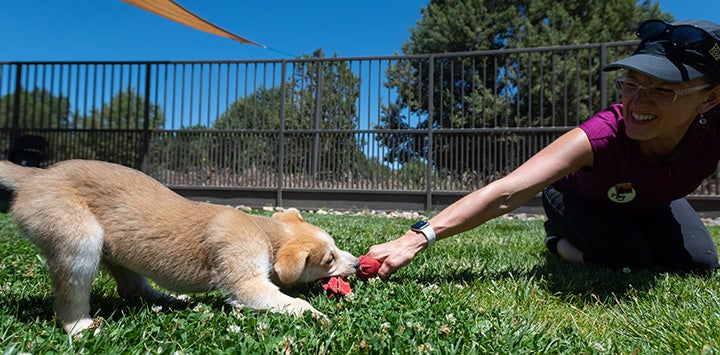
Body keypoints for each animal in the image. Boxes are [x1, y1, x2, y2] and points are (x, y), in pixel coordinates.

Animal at [0, 160, 360, 336]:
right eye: (329, 259)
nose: (358, 263)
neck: (264, 233)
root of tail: (34, 176)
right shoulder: (245, 283)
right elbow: (289, 301)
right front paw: (316, 314)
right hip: (80, 239)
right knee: (70, 297)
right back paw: (81, 328)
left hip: (116, 249)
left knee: (133, 288)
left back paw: (174, 299)